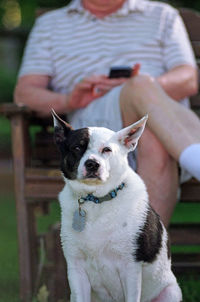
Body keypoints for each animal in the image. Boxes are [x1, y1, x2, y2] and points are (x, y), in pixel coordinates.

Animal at [52, 109, 182, 302]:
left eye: (107, 150)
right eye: (77, 148)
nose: (92, 164)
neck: (96, 201)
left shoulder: (131, 268)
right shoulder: (76, 268)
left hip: (171, 292)